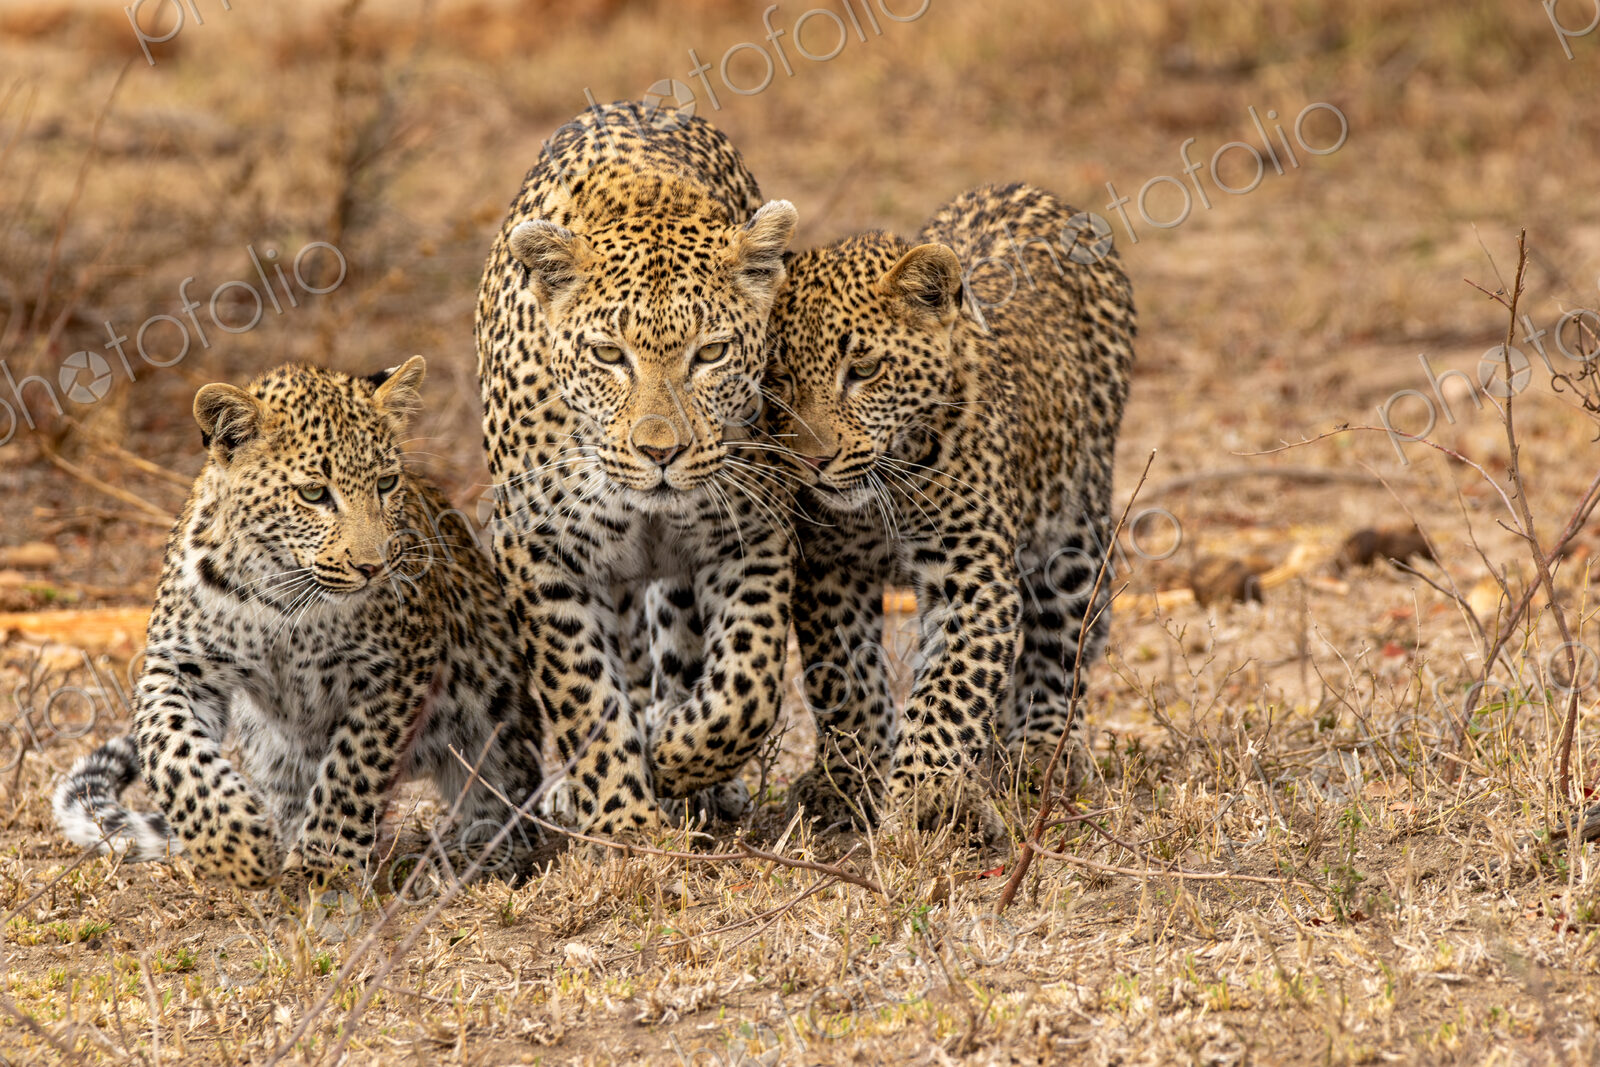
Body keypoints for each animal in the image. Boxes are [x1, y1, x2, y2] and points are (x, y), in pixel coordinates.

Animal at [53, 359, 547, 889]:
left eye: (386, 484)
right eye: (314, 493)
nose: (374, 566)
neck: (281, 595)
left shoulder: (400, 668)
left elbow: (352, 770)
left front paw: (322, 869)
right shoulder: (179, 664)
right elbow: (172, 752)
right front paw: (235, 845)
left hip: (492, 710)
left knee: (509, 806)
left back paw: (465, 858)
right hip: (268, 744)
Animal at [476, 99, 801, 836]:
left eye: (711, 353)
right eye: (607, 354)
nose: (660, 453)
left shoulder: (753, 530)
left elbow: (748, 683)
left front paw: (675, 751)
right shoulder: (537, 550)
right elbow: (584, 696)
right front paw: (625, 821)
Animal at [761, 182, 1135, 844]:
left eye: (863, 370)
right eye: (779, 377)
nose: (814, 462)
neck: (887, 483)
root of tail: (1030, 190)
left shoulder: (972, 573)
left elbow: (948, 692)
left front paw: (927, 801)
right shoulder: (827, 568)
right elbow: (845, 680)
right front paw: (848, 783)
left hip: (1074, 526)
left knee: (1064, 638)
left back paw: (1039, 754)